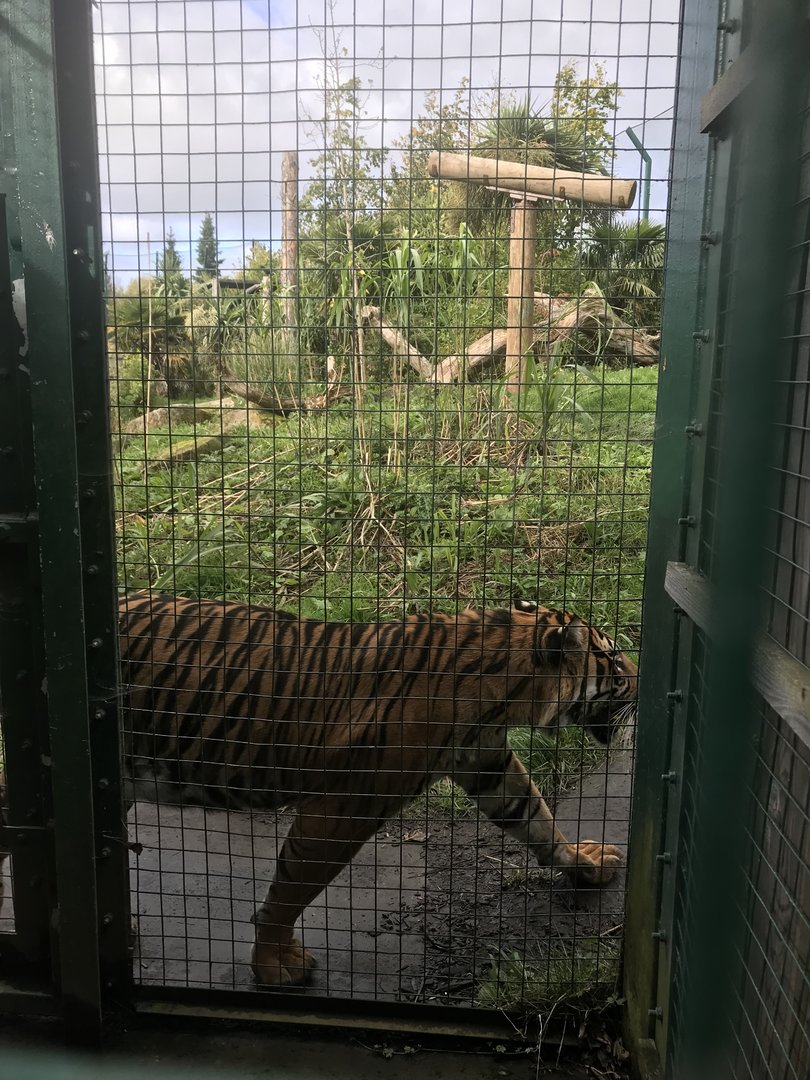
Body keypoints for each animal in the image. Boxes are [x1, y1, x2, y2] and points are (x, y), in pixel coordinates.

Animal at [119, 592, 638, 987]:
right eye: (612, 658)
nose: (639, 681)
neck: (504, 693)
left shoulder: (489, 763)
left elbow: (537, 820)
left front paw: (586, 863)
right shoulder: (346, 807)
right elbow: (291, 889)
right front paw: (273, 964)